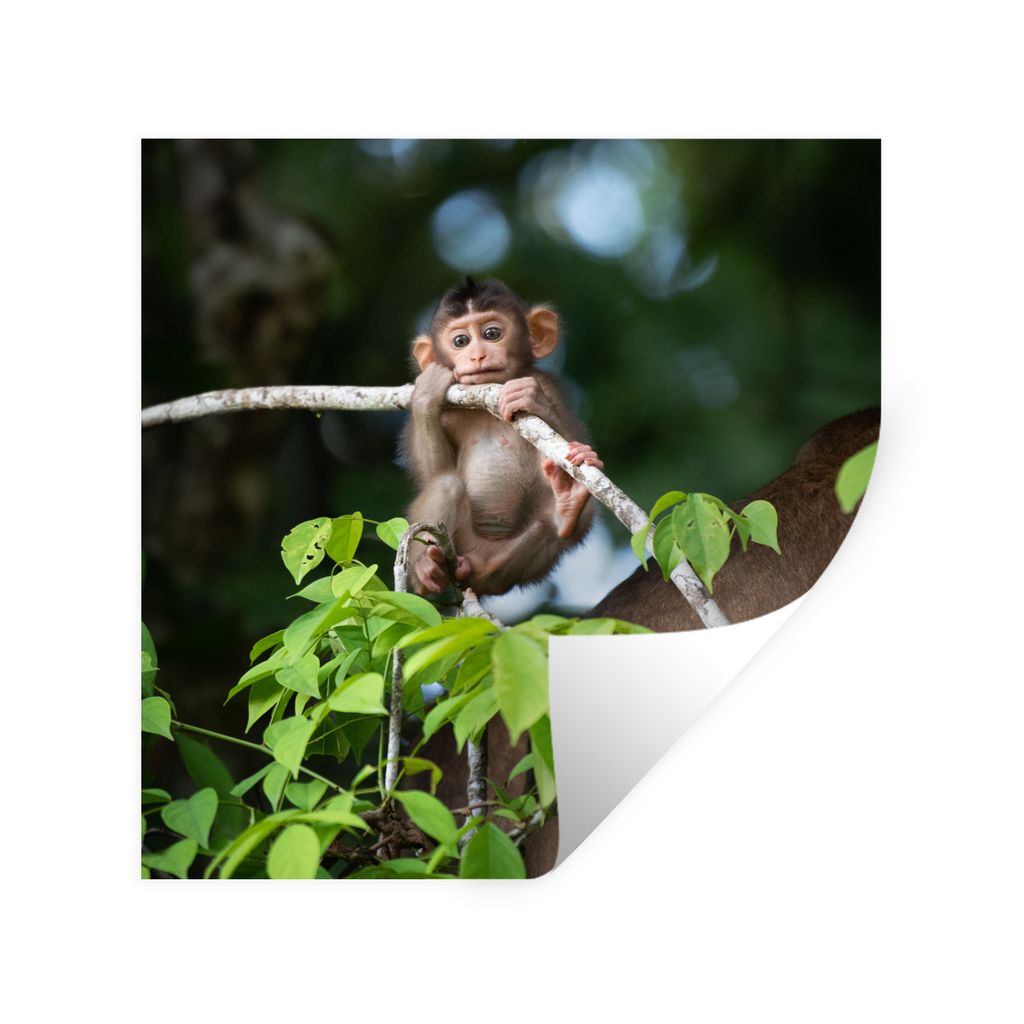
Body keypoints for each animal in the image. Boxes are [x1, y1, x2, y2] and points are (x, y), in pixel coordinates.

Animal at [400, 278, 602, 598]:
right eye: (460, 341)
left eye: (492, 334)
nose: (478, 355)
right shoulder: (448, 410)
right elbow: (433, 473)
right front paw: (426, 394)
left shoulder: (547, 385)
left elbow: (562, 437)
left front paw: (532, 400)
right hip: (460, 544)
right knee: (446, 484)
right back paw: (426, 570)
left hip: (505, 564)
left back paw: (567, 508)